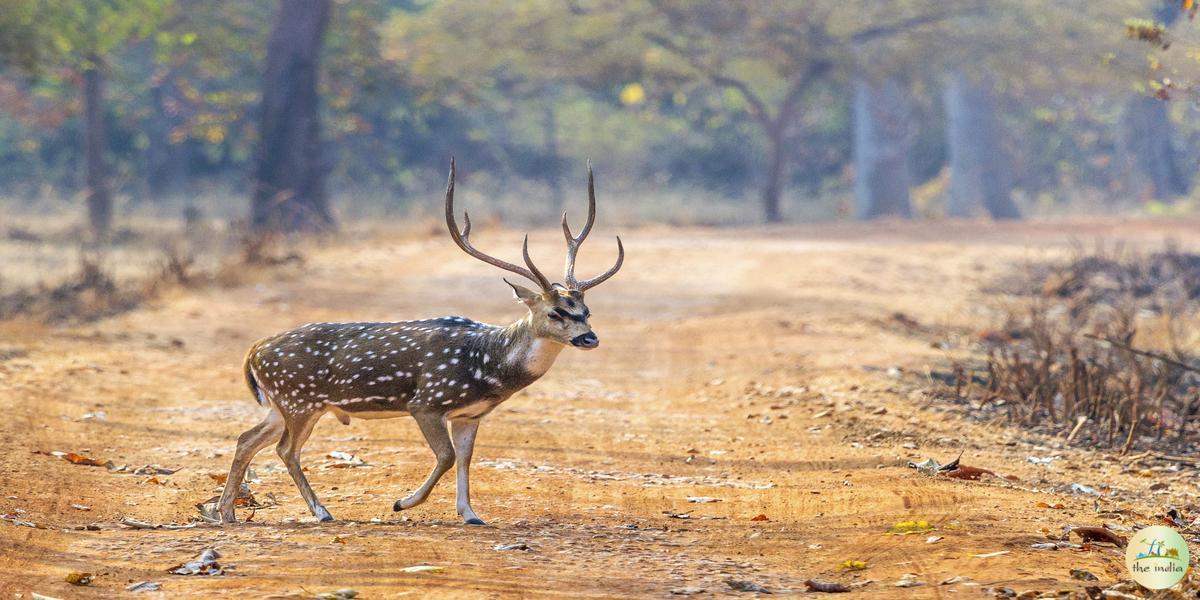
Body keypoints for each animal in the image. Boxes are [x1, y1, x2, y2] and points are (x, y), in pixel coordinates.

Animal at [217, 159, 624, 525]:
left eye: (585, 309)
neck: (487, 366)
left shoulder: (470, 414)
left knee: (247, 438)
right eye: (555, 313)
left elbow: (465, 458)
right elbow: (446, 457)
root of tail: (253, 351)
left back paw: (227, 513)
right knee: (286, 449)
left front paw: (471, 514)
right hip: (299, 400)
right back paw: (321, 512)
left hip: (279, 404)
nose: (589, 338)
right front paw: (402, 502)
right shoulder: (426, 402)